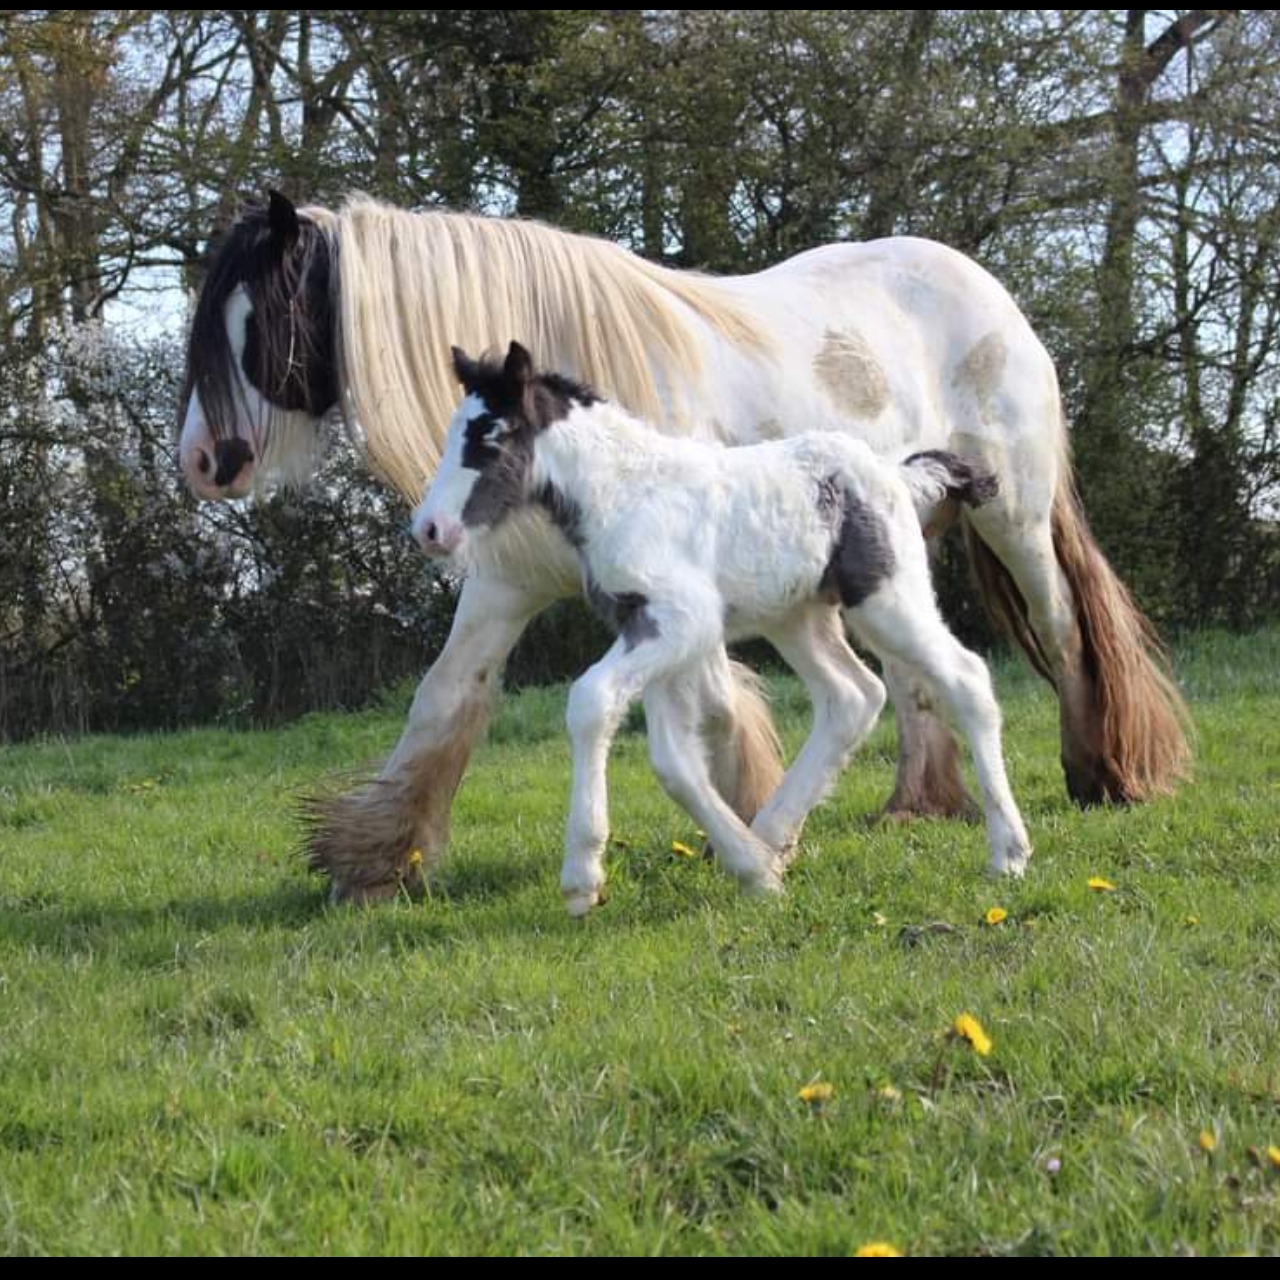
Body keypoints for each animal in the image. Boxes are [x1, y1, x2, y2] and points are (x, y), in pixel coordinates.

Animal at [414, 345, 1034, 916]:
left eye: (491, 438)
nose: (429, 529)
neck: (624, 493)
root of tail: (896, 474)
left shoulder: (682, 622)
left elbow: (591, 702)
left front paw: (582, 876)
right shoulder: (655, 632)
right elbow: (673, 762)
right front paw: (752, 870)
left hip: (888, 599)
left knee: (966, 678)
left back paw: (1008, 852)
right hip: (797, 617)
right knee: (853, 696)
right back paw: (773, 837)